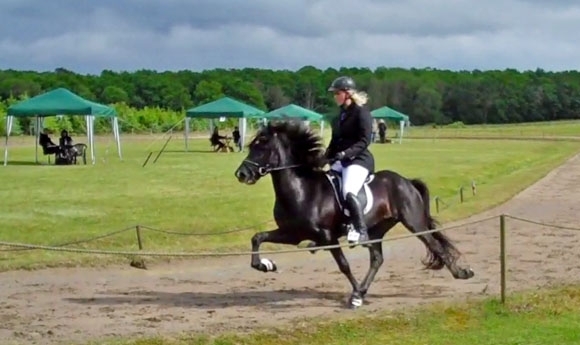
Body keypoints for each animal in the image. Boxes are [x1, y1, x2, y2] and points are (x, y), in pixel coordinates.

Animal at [233, 119, 474, 308]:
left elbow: (344, 265)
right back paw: (363, 290)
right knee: (377, 259)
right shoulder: (293, 234)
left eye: (262, 148)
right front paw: (265, 265)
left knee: (434, 245)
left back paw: (462, 273)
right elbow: (257, 237)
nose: (241, 174)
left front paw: (355, 293)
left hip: (414, 222)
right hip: (376, 229)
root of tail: (405, 181)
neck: (301, 189)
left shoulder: (327, 237)